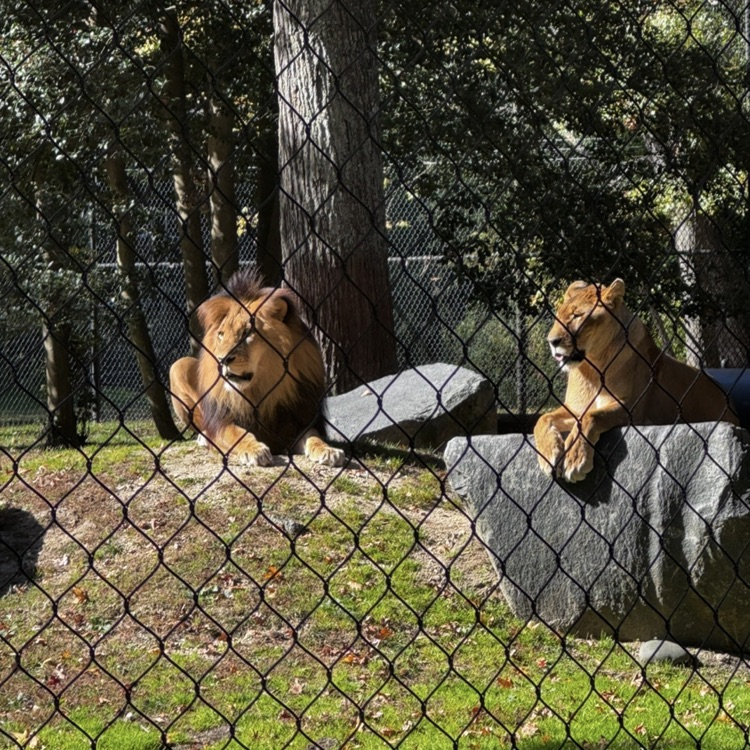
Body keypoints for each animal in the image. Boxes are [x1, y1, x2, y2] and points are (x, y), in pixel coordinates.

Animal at [169, 269, 346, 467]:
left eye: (247, 332)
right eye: (221, 334)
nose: (221, 360)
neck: (261, 389)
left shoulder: (300, 420)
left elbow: (314, 437)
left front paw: (328, 450)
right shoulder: (223, 421)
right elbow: (238, 433)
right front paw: (254, 450)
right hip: (178, 366)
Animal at [533, 278, 739, 483]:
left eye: (577, 315)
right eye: (557, 317)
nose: (552, 341)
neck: (592, 367)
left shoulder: (632, 408)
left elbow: (590, 416)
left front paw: (574, 458)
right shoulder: (575, 408)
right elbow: (543, 418)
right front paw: (548, 454)